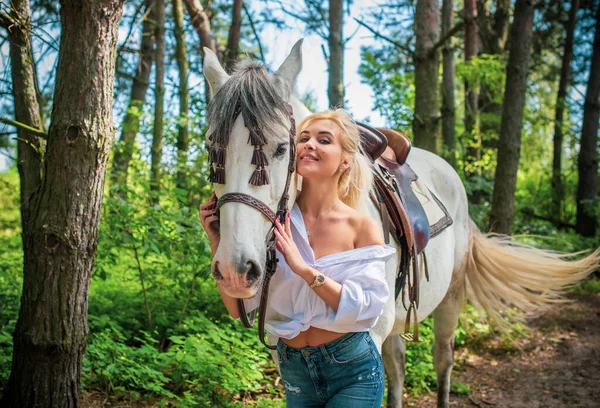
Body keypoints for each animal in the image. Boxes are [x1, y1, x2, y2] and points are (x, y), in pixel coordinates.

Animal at [203, 40, 600, 408]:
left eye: (282, 148)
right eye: (212, 151)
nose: (236, 270)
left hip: (449, 300)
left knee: (443, 359)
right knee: (397, 366)